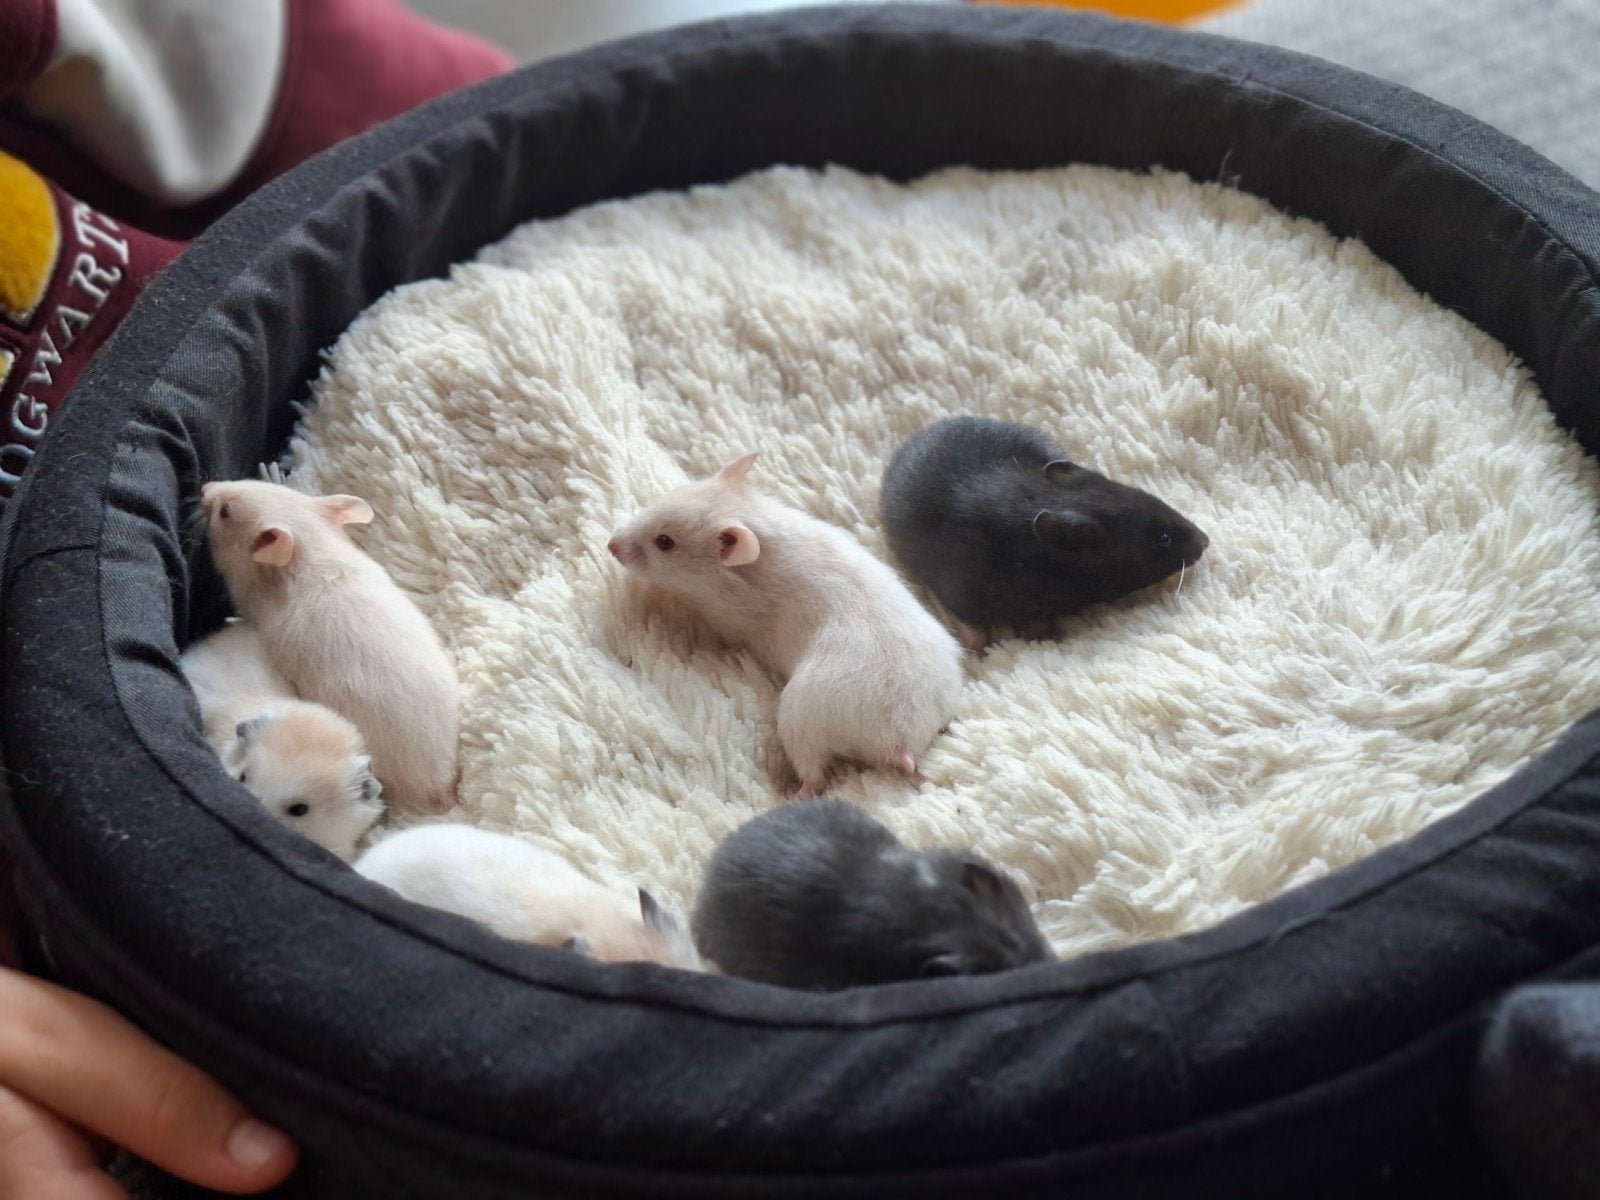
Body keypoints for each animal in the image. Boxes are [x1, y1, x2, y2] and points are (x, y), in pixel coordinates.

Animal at [608, 453, 963, 796]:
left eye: (665, 542)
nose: (611, 545)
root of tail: (902, 736)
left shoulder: (730, 619)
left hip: (802, 715)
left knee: (815, 772)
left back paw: (796, 791)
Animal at [880, 416, 1209, 652]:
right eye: (1163, 540)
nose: (1205, 541)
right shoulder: (959, 591)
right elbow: (972, 628)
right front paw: (981, 651)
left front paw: (1044, 634)